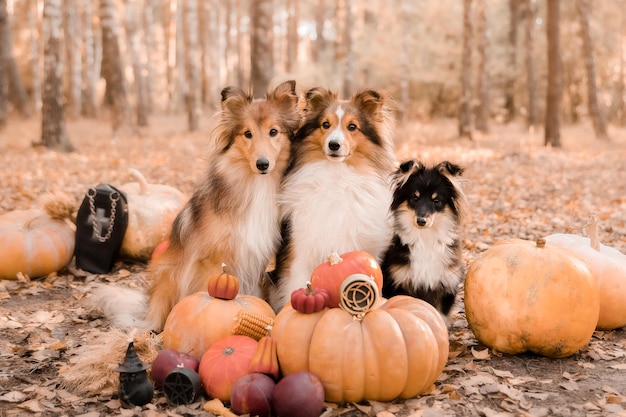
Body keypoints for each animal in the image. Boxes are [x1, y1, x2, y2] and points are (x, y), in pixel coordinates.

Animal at [94, 80, 302, 328]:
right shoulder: (211, 261)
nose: (262, 164)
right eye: (247, 134)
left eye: (273, 132)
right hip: (167, 272)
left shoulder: (255, 258)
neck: (254, 184)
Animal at [378, 158, 466, 318]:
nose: (421, 221)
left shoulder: (445, 286)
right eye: (414, 198)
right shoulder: (399, 282)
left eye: (436, 200)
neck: (425, 238)